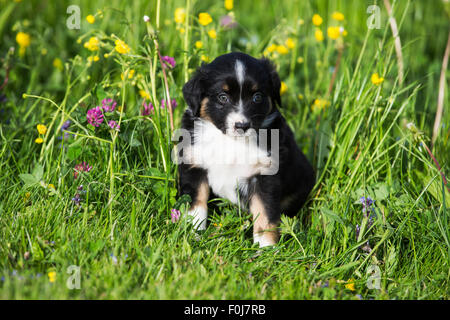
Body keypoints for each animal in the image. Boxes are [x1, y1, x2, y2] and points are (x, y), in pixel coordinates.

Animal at [176, 52, 312, 248]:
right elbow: (195, 205)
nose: (242, 125)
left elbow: (265, 215)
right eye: (222, 97)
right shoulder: (194, 164)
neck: (232, 142)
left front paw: (266, 248)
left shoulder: (264, 175)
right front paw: (192, 235)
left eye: (257, 97)